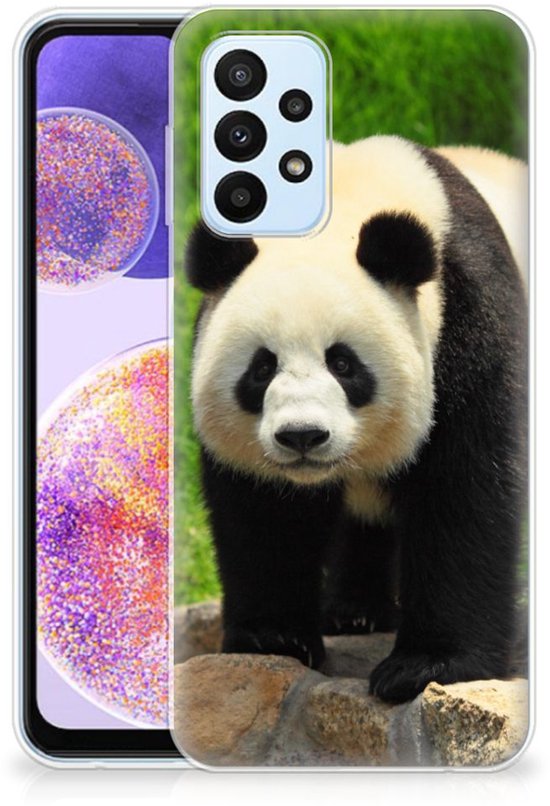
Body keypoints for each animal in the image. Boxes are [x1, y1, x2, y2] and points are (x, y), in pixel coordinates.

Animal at [183, 136, 528, 704]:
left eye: (343, 364)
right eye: (261, 367)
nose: (302, 436)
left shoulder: (470, 321)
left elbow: (465, 491)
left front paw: (426, 666)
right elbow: (264, 512)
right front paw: (274, 638)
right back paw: (355, 612)